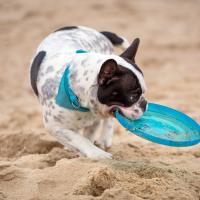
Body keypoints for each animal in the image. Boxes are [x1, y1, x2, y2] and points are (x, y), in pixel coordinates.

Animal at [30, 25, 148, 159]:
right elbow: (79, 139)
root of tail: (99, 33)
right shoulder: (54, 126)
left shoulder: (94, 120)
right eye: (133, 96)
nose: (145, 104)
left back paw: (104, 139)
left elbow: (87, 137)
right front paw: (97, 154)